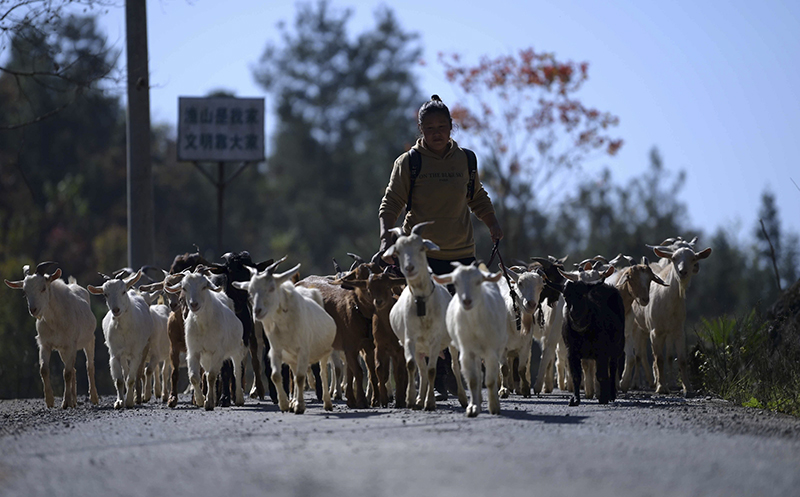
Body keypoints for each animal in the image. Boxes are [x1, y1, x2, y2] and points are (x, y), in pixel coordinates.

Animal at [4, 262, 98, 408]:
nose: (33, 309)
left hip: (89, 340)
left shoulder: (70, 345)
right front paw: (50, 400)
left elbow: (67, 373)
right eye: (24, 292)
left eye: (43, 288)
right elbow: (44, 369)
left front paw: (65, 402)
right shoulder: (45, 344)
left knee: (89, 366)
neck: (55, 321)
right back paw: (74, 401)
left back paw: (93, 398)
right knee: (74, 369)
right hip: (62, 350)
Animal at [90, 272, 154, 406]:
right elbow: (120, 380)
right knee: (126, 371)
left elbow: (131, 379)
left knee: (139, 372)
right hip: (124, 355)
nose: (116, 310)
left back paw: (138, 397)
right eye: (105, 294)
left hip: (145, 348)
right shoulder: (115, 354)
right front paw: (119, 402)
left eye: (123, 291)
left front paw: (129, 401)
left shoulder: (136, 353)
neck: (125, 329)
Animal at [233, 258, 336, 412]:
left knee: (322, 371)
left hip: (322, 350)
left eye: (271, 288)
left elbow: (300, 376)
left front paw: (299, 406)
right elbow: (277, 375)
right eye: (250, 292)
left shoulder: (303, 349)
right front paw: (285, 403)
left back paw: (327, 402)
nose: (257, 311)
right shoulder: (276, 349)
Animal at [382, 223, 468, 408]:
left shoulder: (435, 339)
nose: (409, 268)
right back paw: (420, 399)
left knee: (454, 365)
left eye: (421, 247)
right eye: (398, 251)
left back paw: (463, 398)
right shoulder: (410, 339)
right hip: (421, 348)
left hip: (449, 342)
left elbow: (432, 370)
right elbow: (411, 366)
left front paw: (430, 403)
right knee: (421, 369)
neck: (422, 303)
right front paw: (411, 399)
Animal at [632, 238, 712, 394]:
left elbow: (680, 359)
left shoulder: (678, 330)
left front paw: (687, 388)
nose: (683, 271)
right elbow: (659, 359)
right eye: (674, 258)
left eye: (693, 258)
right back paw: (636, 383)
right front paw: (662, 388)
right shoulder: (655, 331)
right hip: (639, 327)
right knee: (639, 355)